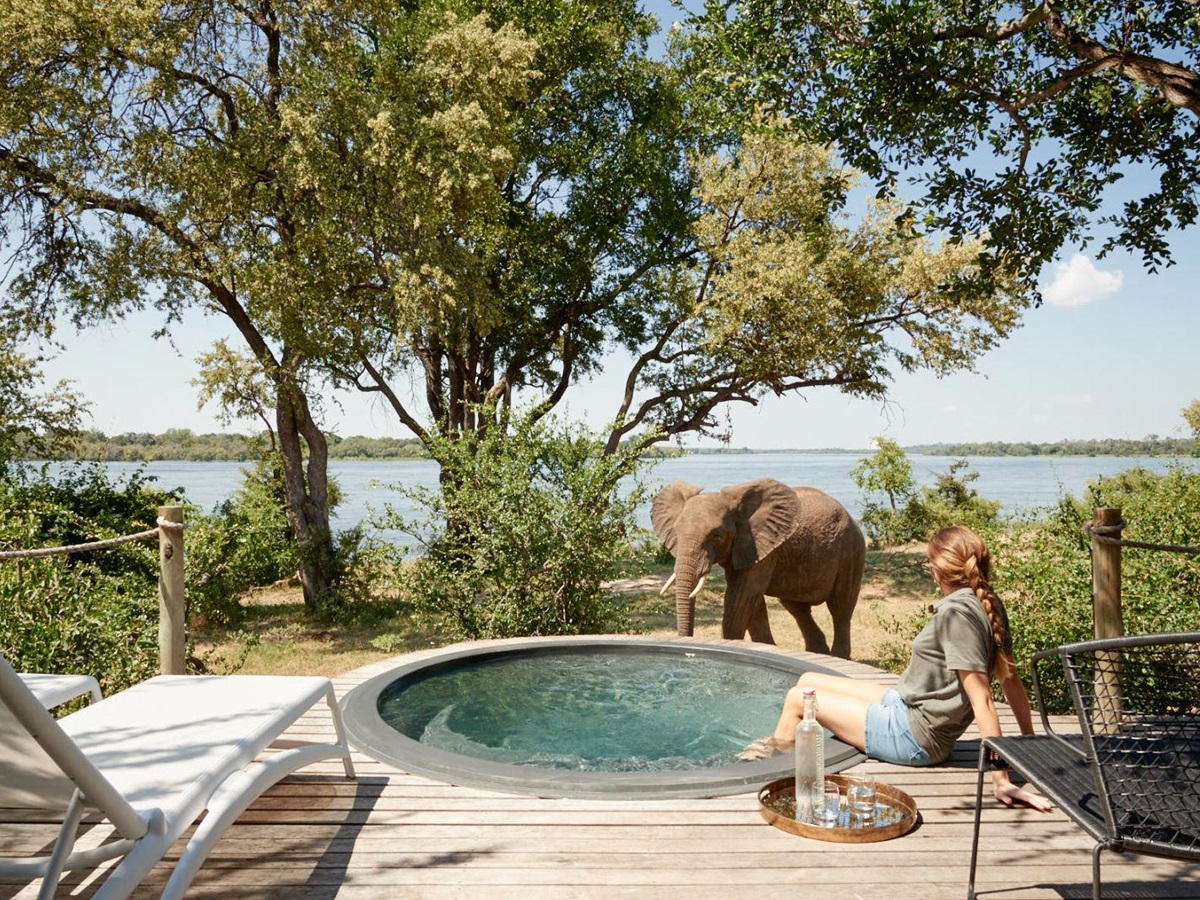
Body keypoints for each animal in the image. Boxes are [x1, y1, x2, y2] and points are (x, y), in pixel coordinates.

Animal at [649, 478, 865, 658]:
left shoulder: (761, 547)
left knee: (840, 607)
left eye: (717, 536)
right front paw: (766, 647)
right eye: (677, 532)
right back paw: (818, 652)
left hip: (851, 550)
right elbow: (753, 603)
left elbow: (741, 598)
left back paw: (838, 656)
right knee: (797, 608)